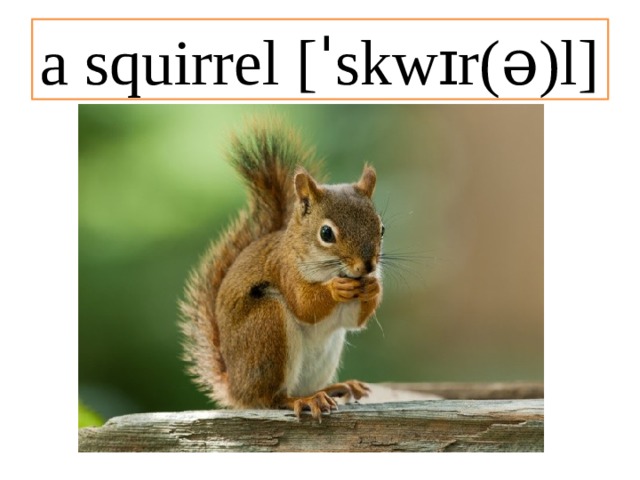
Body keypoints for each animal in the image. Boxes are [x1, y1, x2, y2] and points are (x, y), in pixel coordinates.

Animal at [179, 119, 384, 420]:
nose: (367, 265)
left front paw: (373, 286)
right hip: (268, 326)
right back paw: (304, 400)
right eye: (326, 233)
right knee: (272, 398)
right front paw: (336, 288)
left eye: (382, 228)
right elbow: (304, 305)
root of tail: (236, 389)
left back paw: (336, 388)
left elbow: (353, 320)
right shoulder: (285, 271)